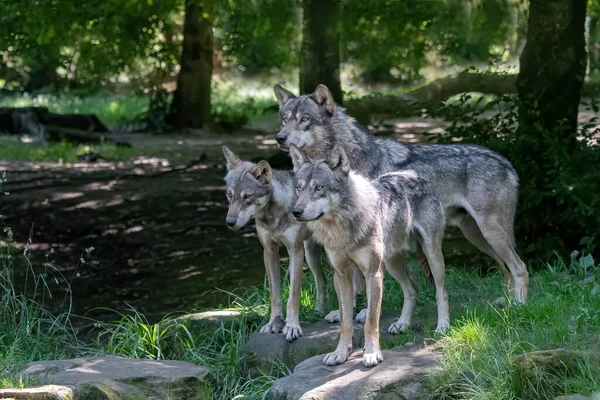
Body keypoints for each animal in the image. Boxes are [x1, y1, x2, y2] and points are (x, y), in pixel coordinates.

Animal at [221, 146, 326, 340]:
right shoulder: (269, 252)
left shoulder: (295, 251)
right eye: (229, 195)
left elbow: (293, 296)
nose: (229, 222)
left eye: (247, 196)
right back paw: (319, 312)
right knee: (323, 282)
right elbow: (275, 295)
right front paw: (275, 324)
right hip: (311, 254)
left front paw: (292, 326)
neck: (273, 217)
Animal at [274, 83, 528, 304]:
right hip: (477, 235)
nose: (279, 138)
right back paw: (506, 301)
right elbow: (353, 283)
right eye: (285, 120)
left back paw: (519, 304)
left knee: (520, 267)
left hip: (490, 233)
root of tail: (507, 163)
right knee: (506, 268)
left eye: (304, 119)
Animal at [290, 142, 450, 368]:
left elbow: (370, 321)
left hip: (431, 256)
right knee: (412, 288)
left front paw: (372, 353)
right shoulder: (341, 275)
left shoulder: (373, 274)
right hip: (392, 263)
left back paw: (443, 325)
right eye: (299, 188)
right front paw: (340, 353)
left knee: (440, 291)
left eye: (319, 188)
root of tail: (413, 174)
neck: (342, 227)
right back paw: (402, 323)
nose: (295, 212)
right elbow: (345, 322)